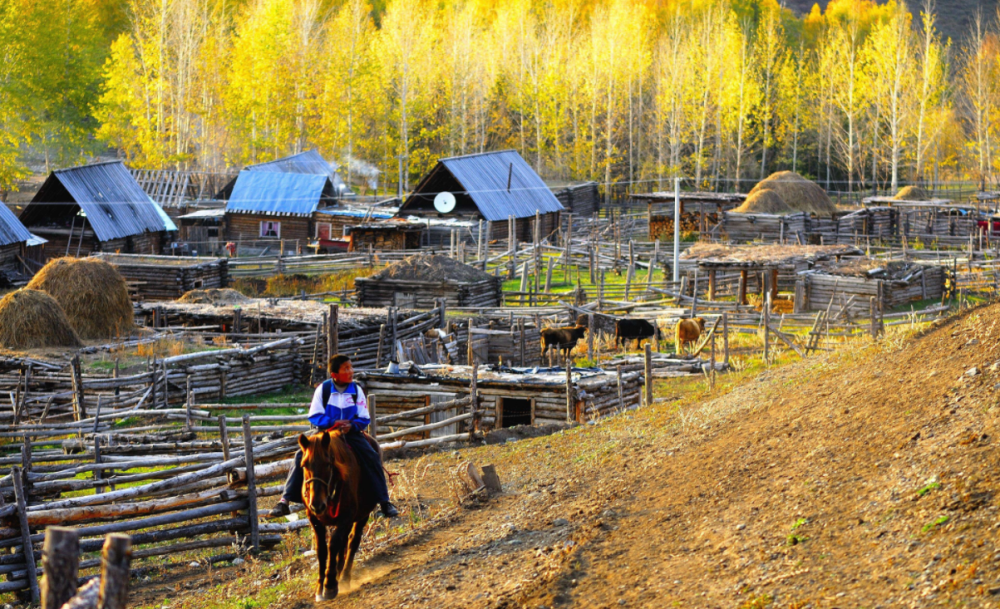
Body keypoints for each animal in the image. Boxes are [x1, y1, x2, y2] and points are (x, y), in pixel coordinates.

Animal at [298, 430, 376, 600]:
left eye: (327, 464)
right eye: (304, 465)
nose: (317, 504)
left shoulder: (346, 517)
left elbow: (333, 544)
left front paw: (330, 585)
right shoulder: (315, 520)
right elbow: (321, 549)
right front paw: (320, 587)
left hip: (362, 516)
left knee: (353, 541)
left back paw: (344, 578)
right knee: (344, 542)